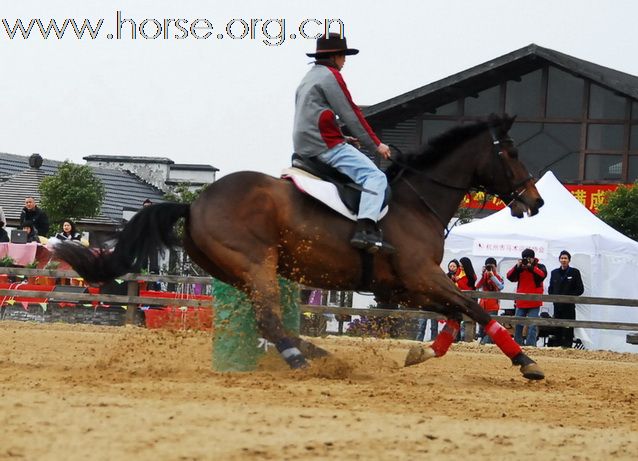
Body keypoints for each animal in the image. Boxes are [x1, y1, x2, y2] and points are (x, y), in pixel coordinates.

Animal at [53, 114, 552, 378]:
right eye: (510, 153)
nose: (536, 200)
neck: (416, 200)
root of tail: (193, 204)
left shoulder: (405, 288)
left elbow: (456, 315)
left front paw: (422, 352)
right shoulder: (421, 278)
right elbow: (477, 308)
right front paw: (526, 361)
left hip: (237, 271)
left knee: (270, 321)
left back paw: (319, 356)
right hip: (257, 263)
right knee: (271, 320)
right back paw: (304, 359)